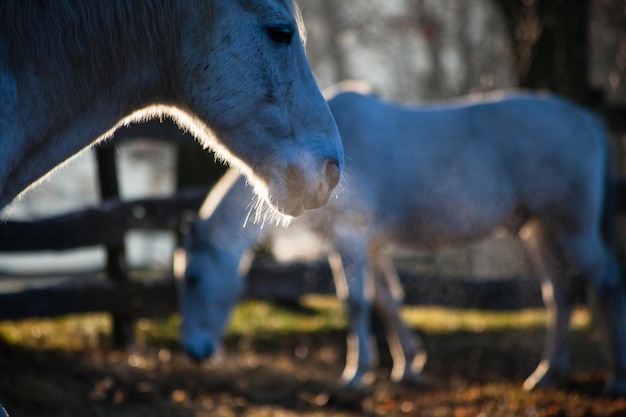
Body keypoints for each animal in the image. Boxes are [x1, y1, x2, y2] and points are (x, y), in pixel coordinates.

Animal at [174, 88, 624, 394]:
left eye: (193, 279)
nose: (193, 351)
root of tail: (588, 120)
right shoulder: (372, 246)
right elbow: (388, 300)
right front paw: (409, 365)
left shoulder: (351, 239)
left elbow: (356, 302)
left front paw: (356, 374)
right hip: (541, 229)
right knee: (559, 294)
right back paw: (547, 374)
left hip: (574, 228)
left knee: (605, 284)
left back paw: (615, 380)